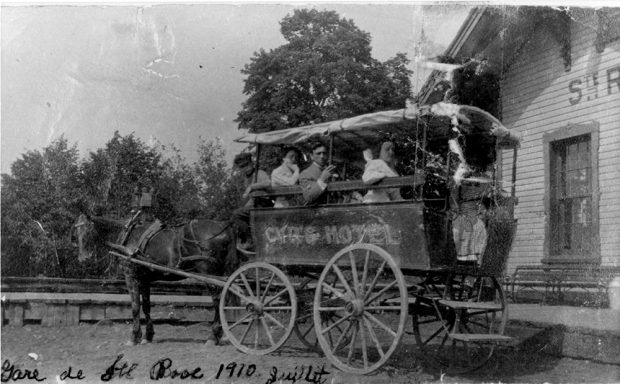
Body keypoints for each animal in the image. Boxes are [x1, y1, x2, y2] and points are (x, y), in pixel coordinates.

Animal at [73, 213, 237, 344]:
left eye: (88, 231)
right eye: (77, 232)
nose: (83, 258)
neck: (127, 237)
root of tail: (224, 227)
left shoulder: (131, 276)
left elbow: (135, 306)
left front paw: (134, 337)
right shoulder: (144, 279)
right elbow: (146, 306)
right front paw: (148, 335)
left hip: (208, 273)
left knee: (218, 301)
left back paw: (213, 336)